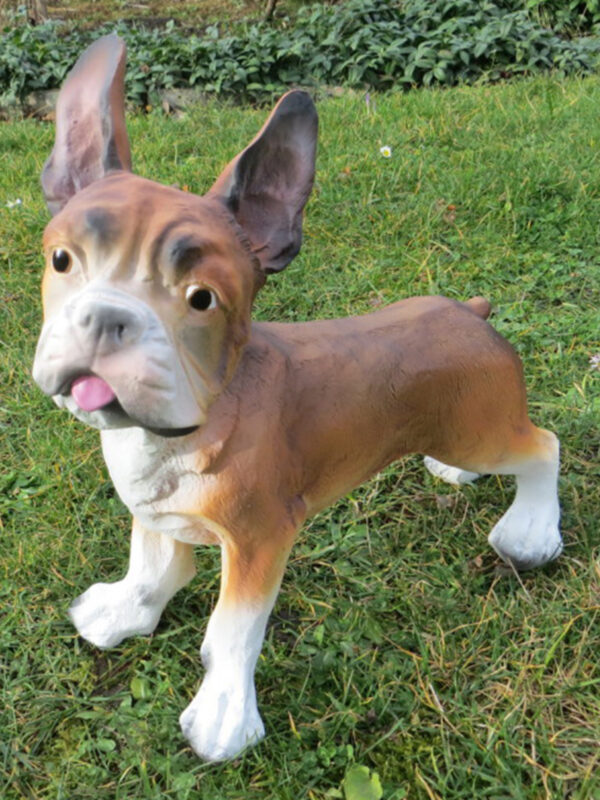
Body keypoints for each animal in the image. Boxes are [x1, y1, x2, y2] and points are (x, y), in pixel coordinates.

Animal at [32, 36, 560, 764]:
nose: (108, 315)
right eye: (62, 260)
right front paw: (123, 612)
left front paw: (223, 719)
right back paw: (455, 477)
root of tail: (472, 314)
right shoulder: (158, 511)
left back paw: (531, 534)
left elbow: (232, 631)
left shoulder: (261, 540)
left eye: (202, 298)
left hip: (483, 429)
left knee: (542, 448)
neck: (203, 413)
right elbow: (151, 565)